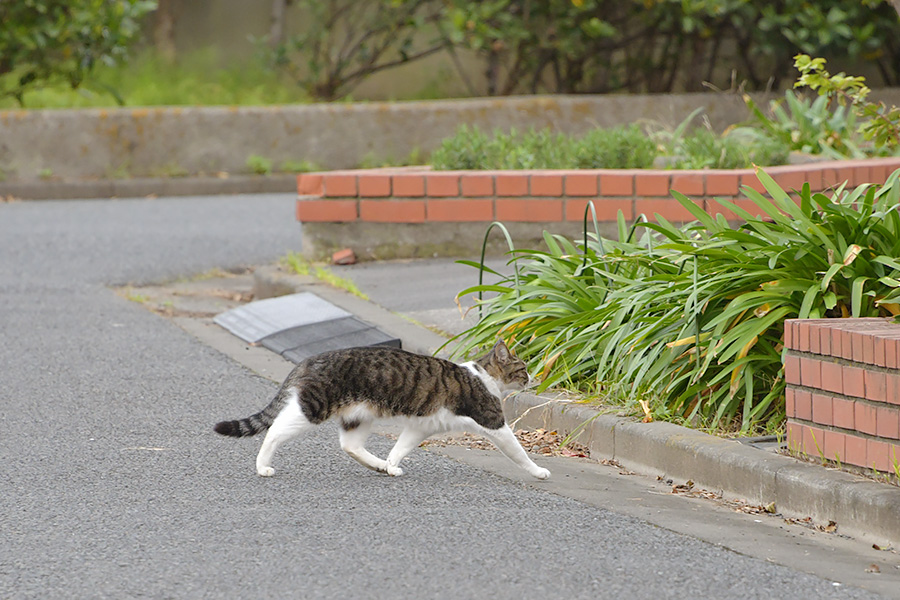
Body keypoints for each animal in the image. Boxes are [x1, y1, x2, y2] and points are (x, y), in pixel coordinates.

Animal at [213, 340, 548, 480]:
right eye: (523, 368)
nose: (533, 378)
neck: (483, 376)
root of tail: (310, 359)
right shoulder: (493, 422)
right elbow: (518, 452)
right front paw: (539, 471)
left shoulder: (421, 426)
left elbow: (400, 448)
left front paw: (391, 465)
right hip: (313, 408)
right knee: (274, 430)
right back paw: (263, 466)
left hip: (359, 415)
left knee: (349, 445)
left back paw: (378, 466)